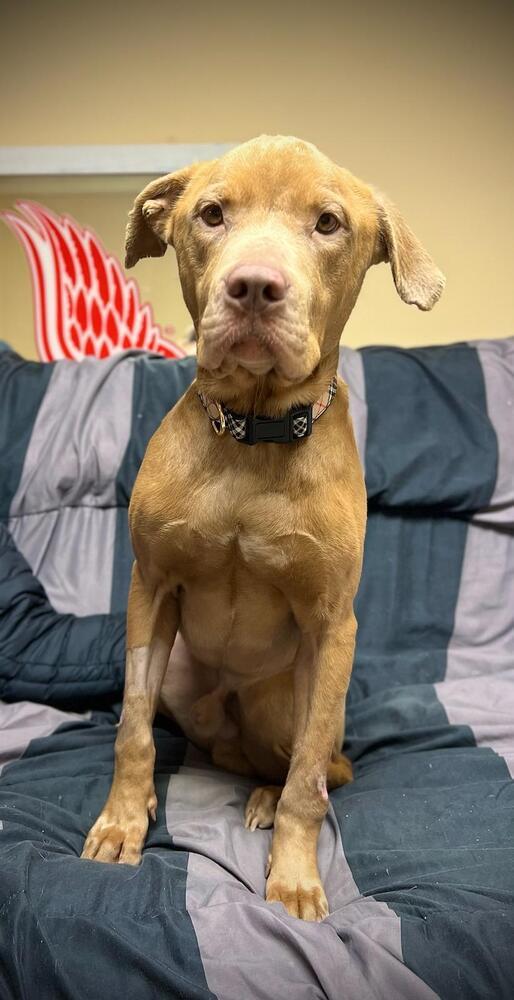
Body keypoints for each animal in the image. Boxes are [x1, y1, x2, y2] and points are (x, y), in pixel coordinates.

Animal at [82, 137, 442, 916]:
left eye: (329, 223)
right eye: (212, 214)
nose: (253, 287)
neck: (254, 433)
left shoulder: (332, 624)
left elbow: (308, 777)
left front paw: (297, 878)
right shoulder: (150, 589)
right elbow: (131, 728)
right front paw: (122, 823)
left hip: (291, 700)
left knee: (318, 764)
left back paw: (269, 801)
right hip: (183, 680)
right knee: (221, 749)